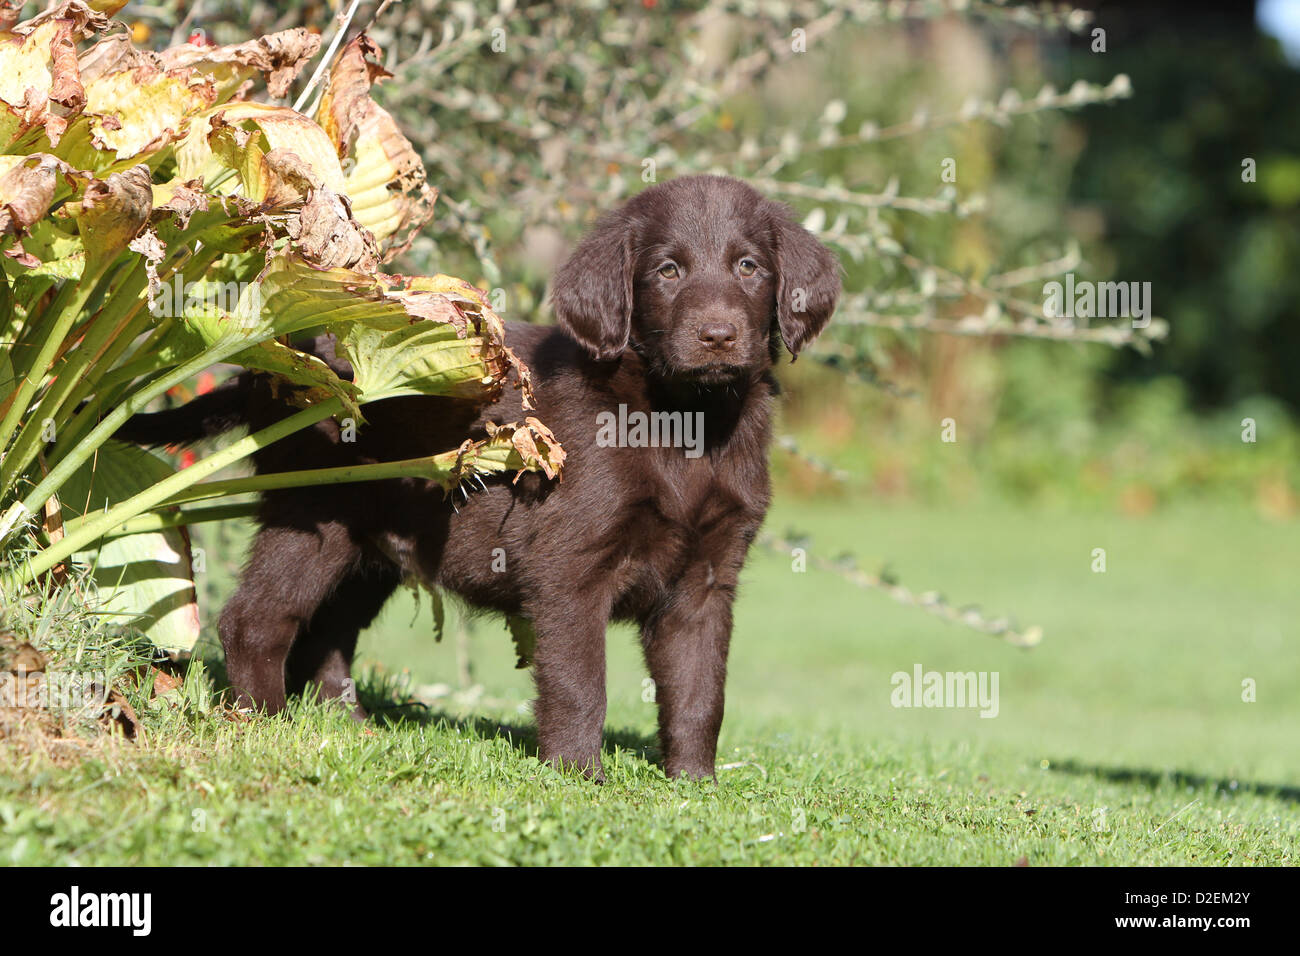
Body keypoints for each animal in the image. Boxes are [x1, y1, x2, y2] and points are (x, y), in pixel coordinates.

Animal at [116, 175, 837, 780]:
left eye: (748, 267)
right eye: (667, 270)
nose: (717, 336)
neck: (685, 423)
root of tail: (274, 360)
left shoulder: (707, 580)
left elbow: (698, 691)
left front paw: (693, 784)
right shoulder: (569, 568)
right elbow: (580, 683)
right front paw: (577, 775)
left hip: (375, 543)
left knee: (328, 635)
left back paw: (348, 728)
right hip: (313, 515)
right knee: (256, 620)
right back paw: (266, 724)